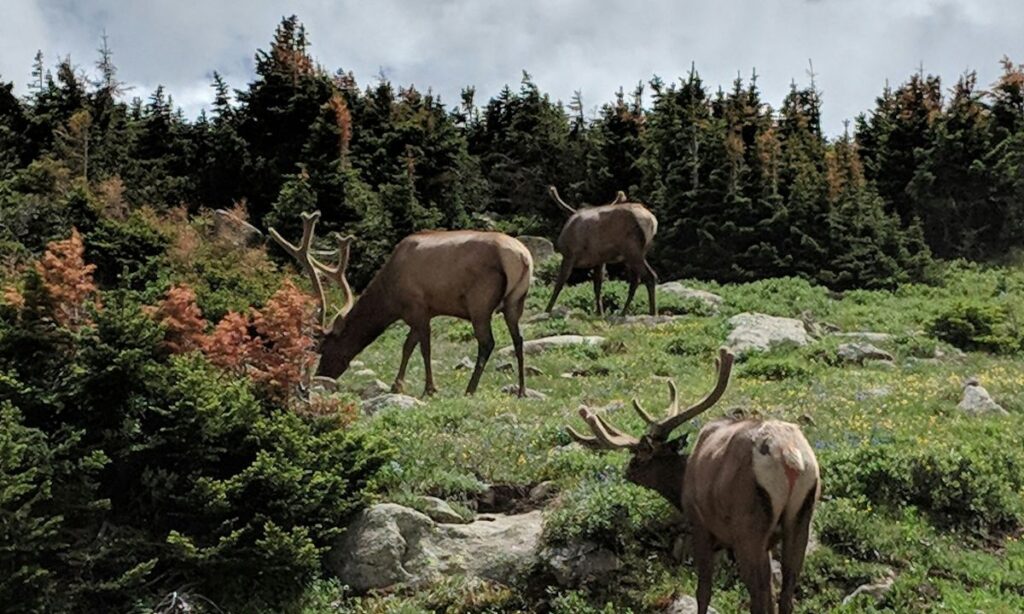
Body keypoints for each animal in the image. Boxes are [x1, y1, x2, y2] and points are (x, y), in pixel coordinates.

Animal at [268, 211, 533, 397]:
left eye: (323, 349)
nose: (322, 378)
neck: (390, 299)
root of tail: (523, 257)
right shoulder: (421, 313)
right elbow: (410, 346)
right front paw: (401, 385)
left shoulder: (418, 308)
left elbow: (421, 348)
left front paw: (427, 388)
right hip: (515, 302)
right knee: (519, 340)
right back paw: (521, 390)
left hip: (480, 302)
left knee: (487, 343)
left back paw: (470, 388)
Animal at [546, 186, 659, 316]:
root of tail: (652, 221)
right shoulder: (599, 260)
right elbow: (597, 286)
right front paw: (600, 313)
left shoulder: (569, 254)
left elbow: (559, 283)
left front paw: (547, 310)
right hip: (636, 254)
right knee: (635, 281)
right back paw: (623, 312)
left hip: (632, 250)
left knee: (650, 276)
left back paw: (652, 312)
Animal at [566, 349, 820, 614]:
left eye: (638, 458)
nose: (627, 471)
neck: (681, 484)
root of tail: (789, 455)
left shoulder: (700, 523)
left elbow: (704, 590)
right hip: (801, 515)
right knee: (786, 591)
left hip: (748, 525)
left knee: (758, 593)